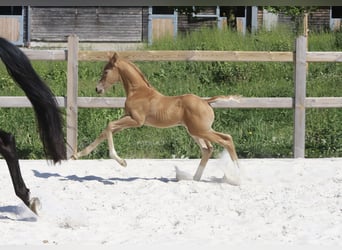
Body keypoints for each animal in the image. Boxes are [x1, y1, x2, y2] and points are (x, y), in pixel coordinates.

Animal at [73, 52, 240, 182]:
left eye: (106, 71)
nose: (97, 89)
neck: (138, 92)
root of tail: (206, 101)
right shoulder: (127, 118)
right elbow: (105, 132)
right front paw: (78, 154)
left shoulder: (136, 121)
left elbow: (109, 126)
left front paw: (122, 162)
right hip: (195, 131)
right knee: (208, 149)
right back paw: (194, 178)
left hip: (201, 130)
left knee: (227, 139)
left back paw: (238, 176)